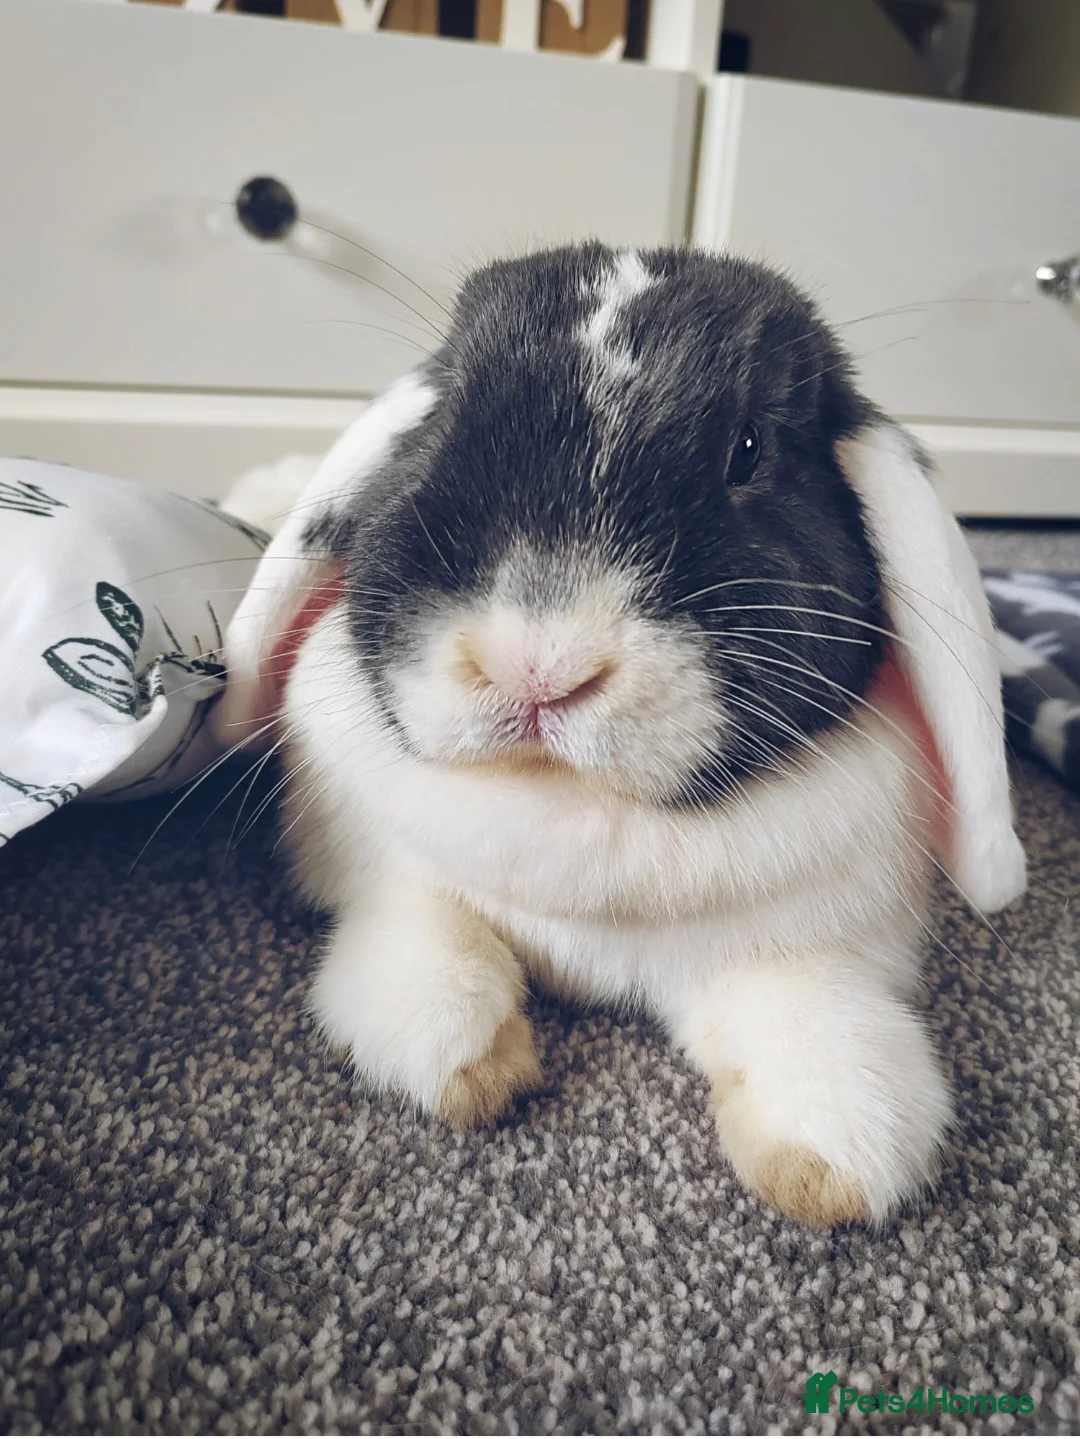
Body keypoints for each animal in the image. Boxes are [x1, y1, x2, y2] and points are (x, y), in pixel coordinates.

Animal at [215, 244, 1026, 1228]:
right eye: (446, 415)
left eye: (750, 448)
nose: (536, 664)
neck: (577, 807)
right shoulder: (386, 870)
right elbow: (429, 934)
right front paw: (468, 1064)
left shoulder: (814, 941)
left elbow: (811, 1012)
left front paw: (835, 1158)